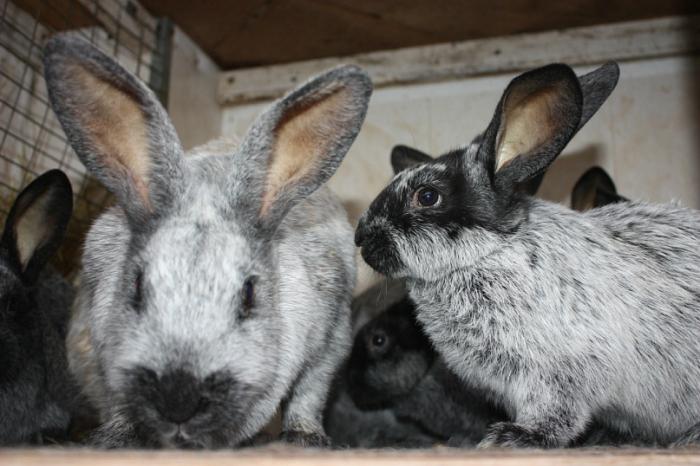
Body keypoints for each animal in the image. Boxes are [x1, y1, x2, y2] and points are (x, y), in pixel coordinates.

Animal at [43, 34, 372, 450]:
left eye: (249, 295)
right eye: (136, 287)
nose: (178, 400)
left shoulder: (329, 343)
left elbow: (307, 395)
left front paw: (304, 439)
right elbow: (116, 402)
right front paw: (115, 438)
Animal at [356, 60, 700, 446]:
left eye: (427, 196)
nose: (359, 236)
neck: (488, 254)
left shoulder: (559, 376)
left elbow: (558, 415)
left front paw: (512, 437)